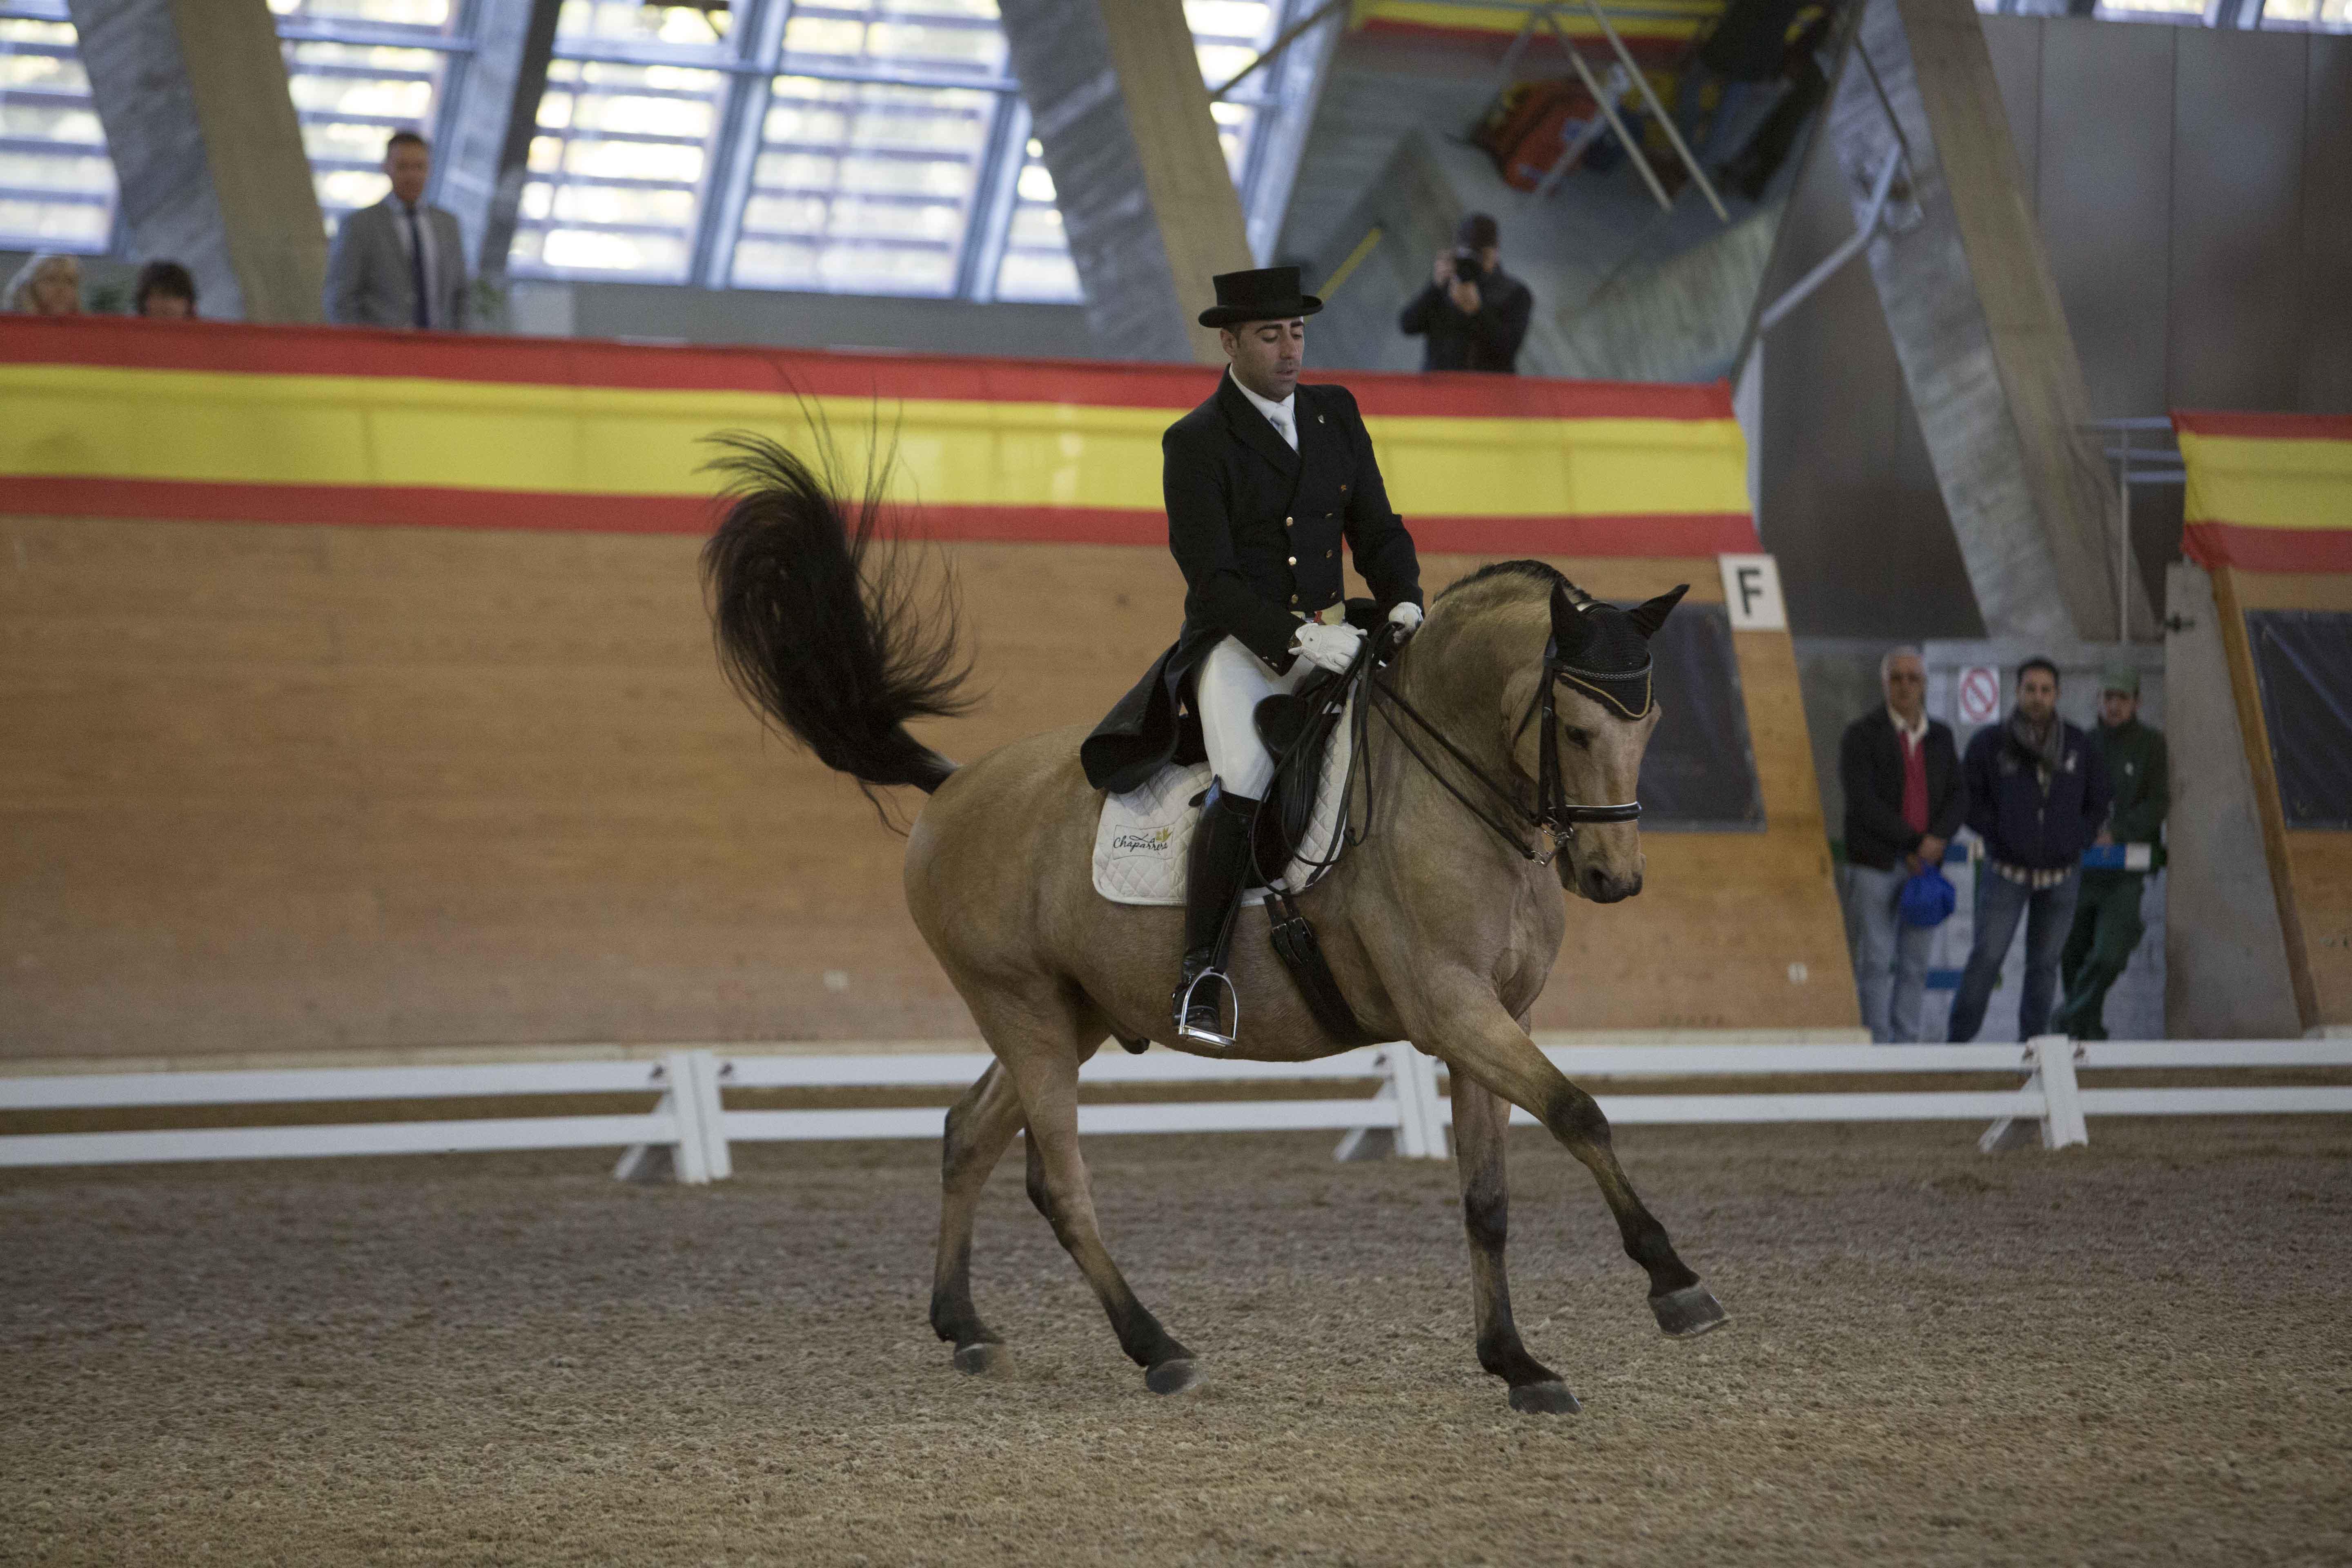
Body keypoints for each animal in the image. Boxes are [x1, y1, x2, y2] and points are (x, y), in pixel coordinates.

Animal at [696, 435, 1731, 1420]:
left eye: (1650, 723)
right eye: (1577, 729)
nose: (1611, 877)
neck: (1452, 794)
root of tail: (954, 786)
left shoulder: (1494, 1014)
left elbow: (1488, 1195)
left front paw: (1517, 1363)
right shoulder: (1450, 1008)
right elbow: (1578, 1111)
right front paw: (1674, 1283)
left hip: (1068, 1012)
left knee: (968, 1134)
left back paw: (966, 1327)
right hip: (1020, 1007)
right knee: (1058, 1181)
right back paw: (1157, 1346)